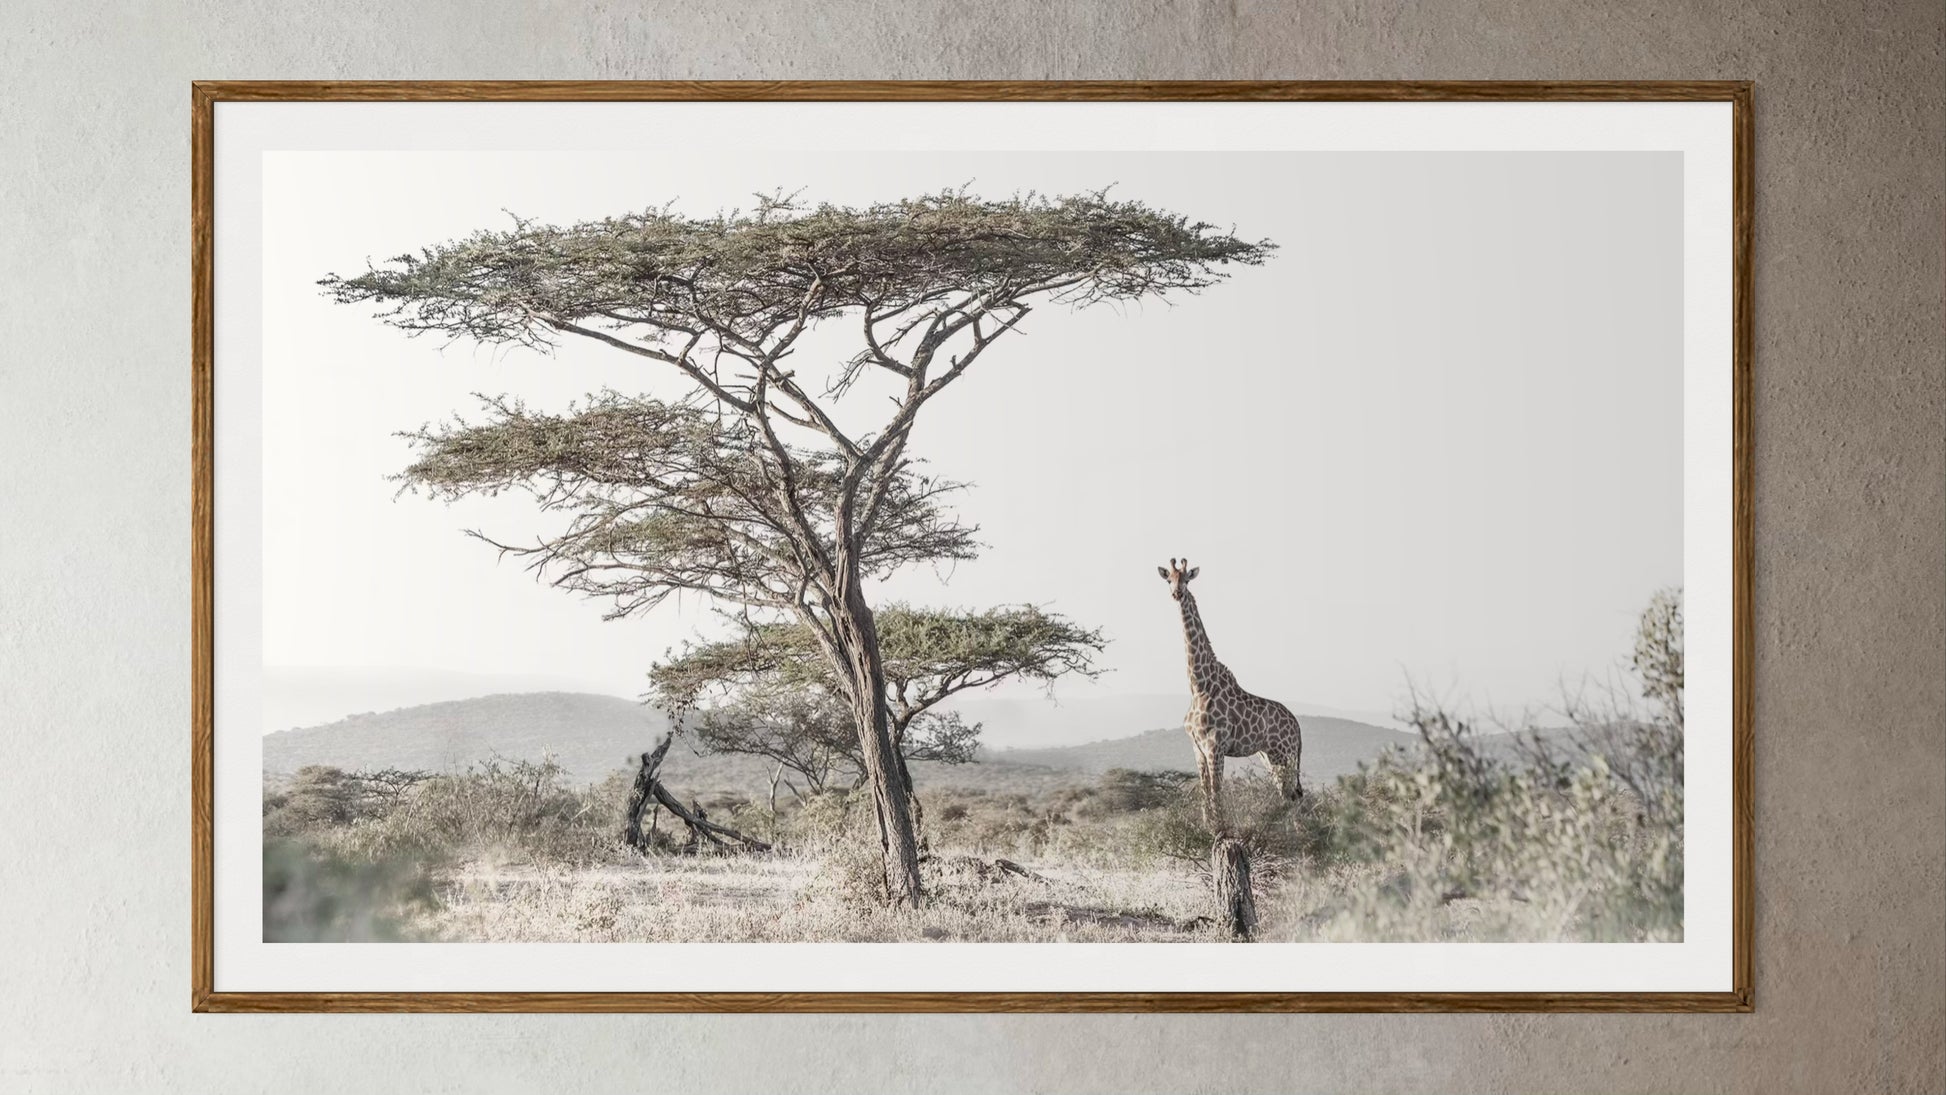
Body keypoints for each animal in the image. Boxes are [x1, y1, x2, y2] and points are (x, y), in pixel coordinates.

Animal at [1157, 557, 1304, 830]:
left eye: (1186, 579)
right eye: (1169, 579)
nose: (1177, 593)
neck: (1199, 685)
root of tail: (1297, 726)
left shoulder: (1215, 745)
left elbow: (1217, 789)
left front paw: (1220, 828)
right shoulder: (1197, 748)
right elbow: (1205, 790)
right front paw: (1208, 827)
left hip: (1285, 754)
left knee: (1294, 794)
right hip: (1269, 756)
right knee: (1288, 794)